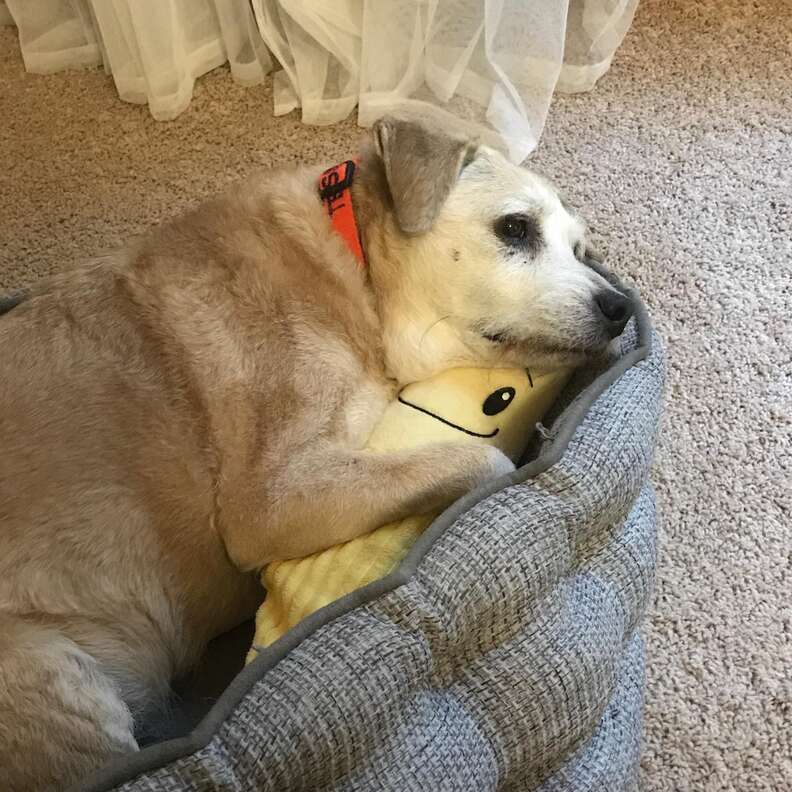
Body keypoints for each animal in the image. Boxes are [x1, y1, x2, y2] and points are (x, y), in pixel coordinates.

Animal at [0, 114, 632, 788]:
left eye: (579, 248)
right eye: (515, 228)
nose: (620, 308)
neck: (358, 275)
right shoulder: (272, 503)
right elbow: (483, 460)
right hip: (57, 683)